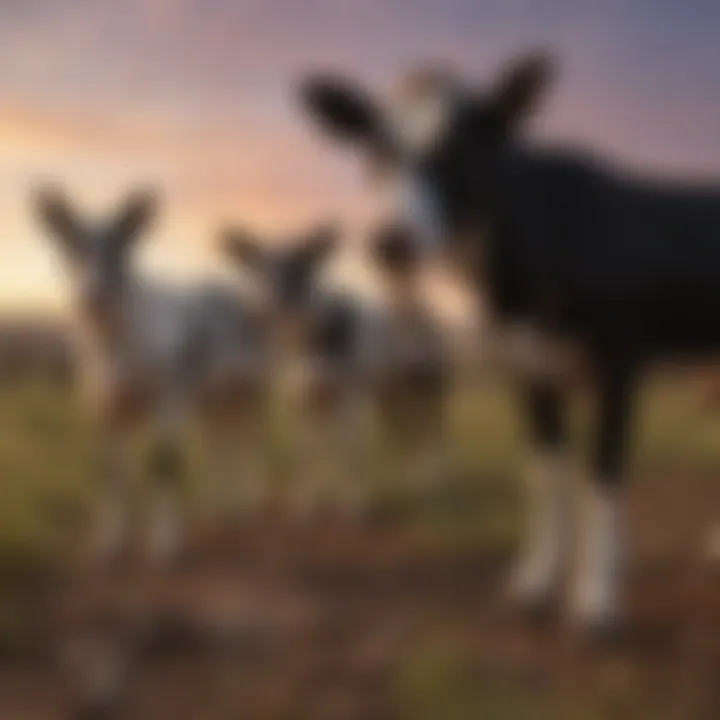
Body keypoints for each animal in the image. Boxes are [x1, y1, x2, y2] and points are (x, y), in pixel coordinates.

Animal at [34, 187, 270, 568]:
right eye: (72, 246)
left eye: (120, 249)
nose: (93, 297)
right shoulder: (102, 402)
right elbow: (108, 470)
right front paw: (108, 544)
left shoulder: (168, 391)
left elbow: (165, 461)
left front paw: (164, 548)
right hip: (212, 391)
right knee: (222, 440)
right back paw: (220, 510)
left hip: (250, 384)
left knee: (249, 438)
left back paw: (248, 507)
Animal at [296, 53, 720, 632]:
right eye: (376, 149)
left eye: (460, 151)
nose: (391, 241)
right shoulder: (527, 368)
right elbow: (546, 474)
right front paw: (536, 582)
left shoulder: (620, 363)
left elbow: (602, 474)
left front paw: (596, 601)